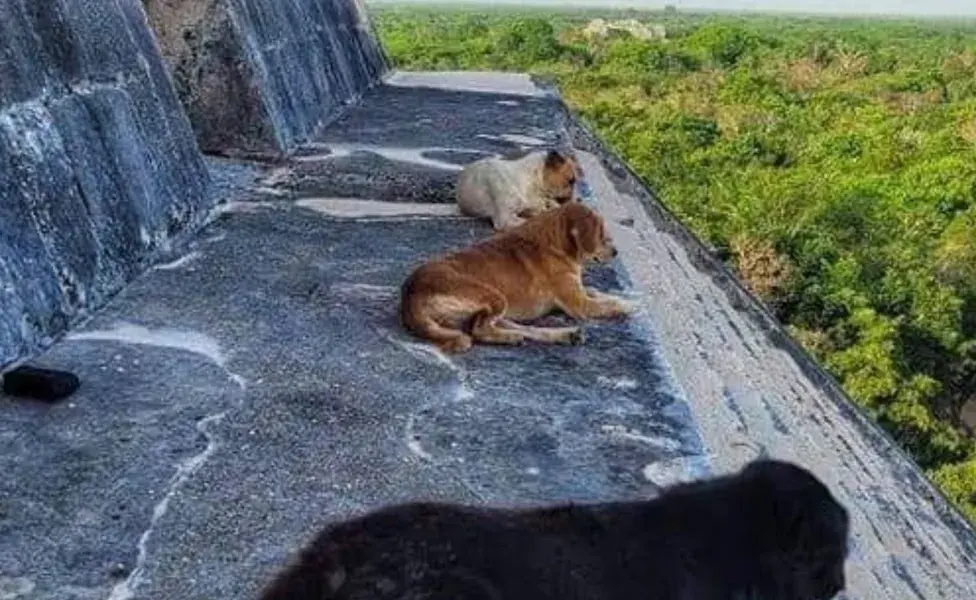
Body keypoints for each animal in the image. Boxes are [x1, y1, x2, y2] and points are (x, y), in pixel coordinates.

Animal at [400, 203, 636, 352]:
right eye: (601, 233)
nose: (616, 252)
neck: (557, 243)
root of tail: (410, 295)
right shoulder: (580, 305)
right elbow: (607, 304)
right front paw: (627, 305)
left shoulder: (580, 292)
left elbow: (597, 292)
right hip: (494, 297)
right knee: (479, 331)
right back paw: (510, 337)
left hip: (497, 310)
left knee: (520, 328)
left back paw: (563, 335)